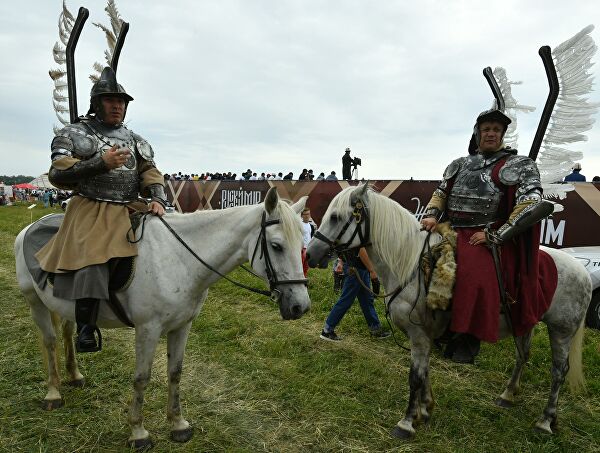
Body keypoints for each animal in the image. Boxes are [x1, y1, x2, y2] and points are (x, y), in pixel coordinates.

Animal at [15, 186, 310, 448]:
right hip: (34, 301)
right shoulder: (148, 329)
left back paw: (75, 375)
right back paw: (53, 393)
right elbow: (141, 378)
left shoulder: (182, 326)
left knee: (66, 331)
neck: (179, 259)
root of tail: (31, 227)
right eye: (276, 246)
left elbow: (175, 372)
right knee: (50, 341)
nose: (301, 306)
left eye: (302, 246)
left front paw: (178, 424)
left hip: (63, 305)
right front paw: (138, 432)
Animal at [308, 183, 592, 438]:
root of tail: (584, 271)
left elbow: (415, 376)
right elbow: (424, 371)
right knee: (522, 355)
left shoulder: (419, 334)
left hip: (561, 330)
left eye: (336, 217)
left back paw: (545, 421)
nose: (311, 255)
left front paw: (407, 422)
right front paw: (425, 409)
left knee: (558, 371)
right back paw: (508, 395)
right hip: (525, 321)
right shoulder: (424, 334)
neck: (410, 263)